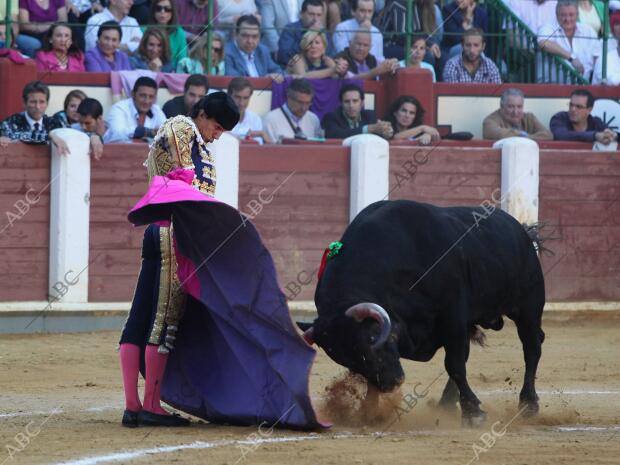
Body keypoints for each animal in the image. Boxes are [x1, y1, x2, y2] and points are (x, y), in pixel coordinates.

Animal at [304, 199, 544, 424]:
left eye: (372, 338)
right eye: (347, 361)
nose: (392, 383)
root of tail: (522, 230)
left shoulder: (453, 315)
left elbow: (454, 364)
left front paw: (473, 413)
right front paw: (369, 412)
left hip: (529, 306)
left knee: (532, 346)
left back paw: (528, 404)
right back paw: (445, 405)